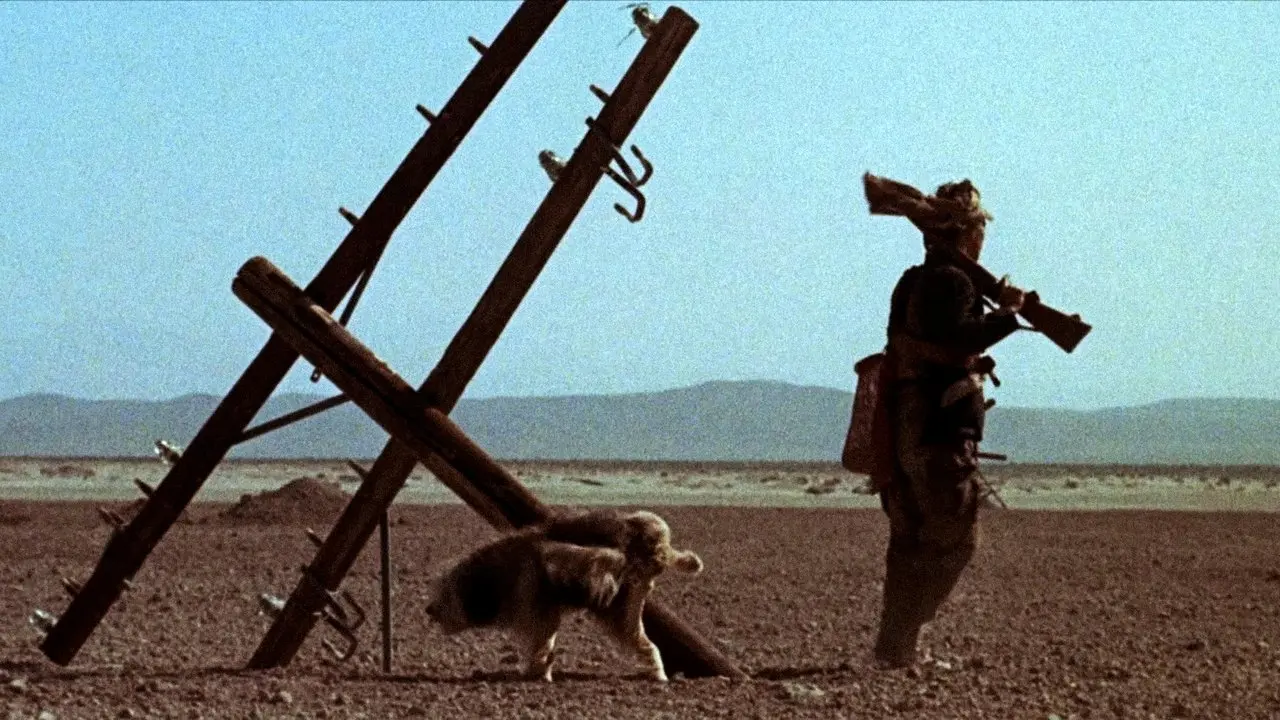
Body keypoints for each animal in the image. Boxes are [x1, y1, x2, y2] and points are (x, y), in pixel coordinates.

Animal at [425, 509, 703, 681]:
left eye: (445, 594)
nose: (428, 610)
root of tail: (659, 548)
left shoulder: (538, 608)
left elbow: (541, 643)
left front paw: (538, 671)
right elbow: (544, 644)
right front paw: (540, 669)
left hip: (621, 610)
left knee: (643, 642)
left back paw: (658, 674)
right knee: (645, 643)